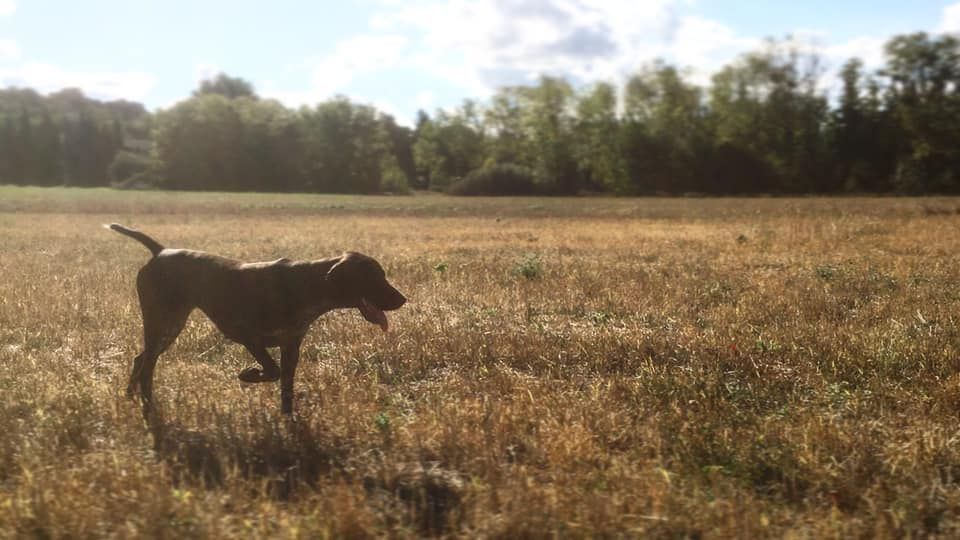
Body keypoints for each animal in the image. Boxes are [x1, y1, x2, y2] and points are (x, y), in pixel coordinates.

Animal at [107, 223, 406, 414]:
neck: (307, 286)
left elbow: (285, 385)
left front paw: (288, 419)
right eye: (375, 277)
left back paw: (130, 396)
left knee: (141, 359)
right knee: (147, 365)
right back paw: (147, 404)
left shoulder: (291, 347)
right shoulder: (248, 336)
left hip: (168, 326)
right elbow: (272, 371)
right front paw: (250, 374)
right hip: (164, 323)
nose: (403, 299)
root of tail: (160, 251)